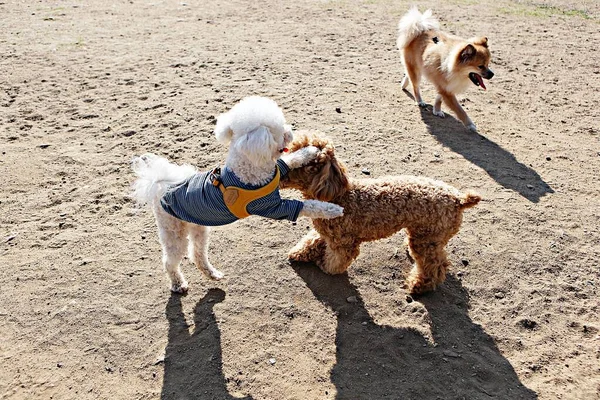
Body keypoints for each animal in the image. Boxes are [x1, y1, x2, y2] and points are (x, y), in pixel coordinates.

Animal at [131, 95, 342, 292]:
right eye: (279, 131)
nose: (290, 130)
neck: (249, 170)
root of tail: (161, 186)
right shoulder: (272, 207)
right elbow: (308, 206)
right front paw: (333, 209)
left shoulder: (278, 171)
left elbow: (289, 160)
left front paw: (310, 151)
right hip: (173, 232)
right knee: (170, 261)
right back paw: (178, 284)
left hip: (198, 228)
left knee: (197, 253)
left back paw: (212, 273)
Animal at [278, 132, 480, 294]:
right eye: (288, 150)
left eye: (303, 164)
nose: (277, 171)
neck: (339, 196)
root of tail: (458, 199)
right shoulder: (327, 231)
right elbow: (312, 239)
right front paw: (300, 253)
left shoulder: (344, 242)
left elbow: (337, 260)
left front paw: (326, 266)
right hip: (426, 234)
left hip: (428, 238)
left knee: (436, 265)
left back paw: (419, 285)